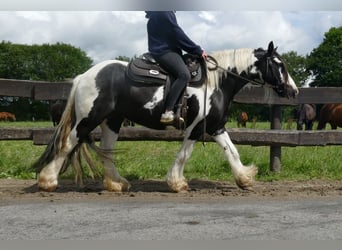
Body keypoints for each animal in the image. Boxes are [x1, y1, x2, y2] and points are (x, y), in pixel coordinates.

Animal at [32, 42, 300, 192]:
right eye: (279, 64)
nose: (294, 91)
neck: (217, 82)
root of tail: (85, 76)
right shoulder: (195, 128)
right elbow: (184, 155)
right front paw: (177, 183)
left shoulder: (215, 127)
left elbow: (232, 152)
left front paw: (244, 179)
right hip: (89, 119)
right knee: (68, 143)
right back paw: (48, 181)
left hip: (113, 121)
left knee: (106, 151)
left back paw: (117, 183)